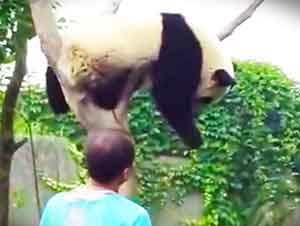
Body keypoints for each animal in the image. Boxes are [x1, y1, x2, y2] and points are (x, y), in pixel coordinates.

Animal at [45, 13, 236, 149]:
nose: (196, 112)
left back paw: (58, 102)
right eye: (206, 99)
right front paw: (195, 139)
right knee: (106, 88)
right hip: (94, 61)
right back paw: (107, 99)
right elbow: (169, 95)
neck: (207, 49)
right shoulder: (180, 47)